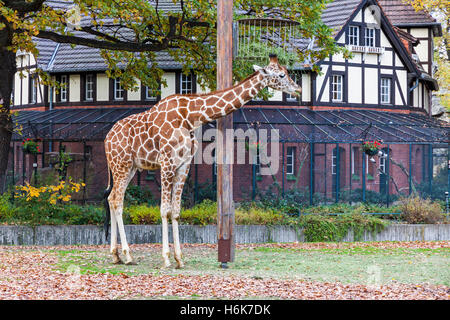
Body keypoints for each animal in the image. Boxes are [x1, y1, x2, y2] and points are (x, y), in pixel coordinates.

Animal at [104, 53, 302, 266]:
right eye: (282, 75)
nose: (298, 89)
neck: (191, 116)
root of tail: (106, 139)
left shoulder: (184, 165)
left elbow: (176, 211)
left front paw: (179, 258)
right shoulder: (167, 163)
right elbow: (164, 209)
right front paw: (166, 258)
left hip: (130, 167)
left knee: (112, 198)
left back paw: (115, 255)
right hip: (121, 165)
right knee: (118, 201)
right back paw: (127, 255)